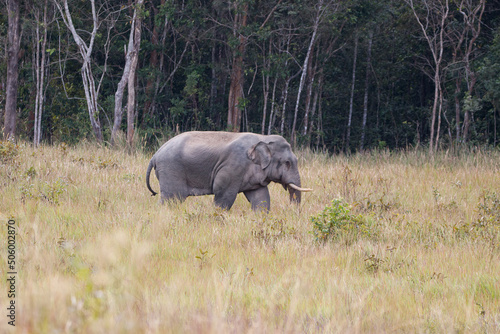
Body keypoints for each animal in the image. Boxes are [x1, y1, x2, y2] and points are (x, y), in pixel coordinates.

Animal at [145, 131, 312, 211]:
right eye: (287, 163)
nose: (293, 212)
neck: (263, 138)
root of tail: (155, 155)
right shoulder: (233, 167)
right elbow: (223, 193)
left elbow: (260, 197)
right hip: (171, 170)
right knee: (172, 199)